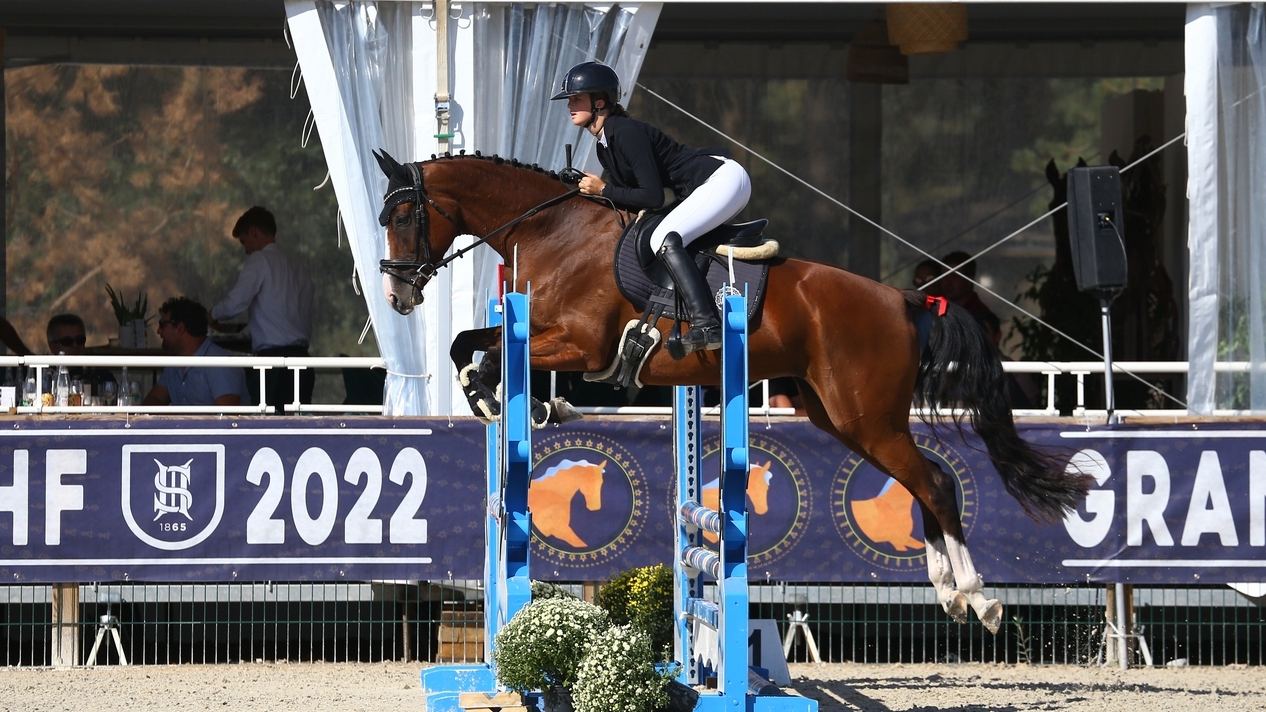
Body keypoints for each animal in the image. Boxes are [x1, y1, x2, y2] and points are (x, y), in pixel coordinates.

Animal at [369, 149, 1093, 630]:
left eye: (403, 215)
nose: (398, 295)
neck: (552, 231)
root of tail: (906, 300)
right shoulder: (539, 330)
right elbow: (467, 346)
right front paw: (509, 402)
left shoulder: (580, 344)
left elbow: (489, 356)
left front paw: (524, 402)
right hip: (842, 417)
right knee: (924, 482)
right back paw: (949, 591)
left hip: (866, 416)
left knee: (936, 483)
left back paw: (981, 598)